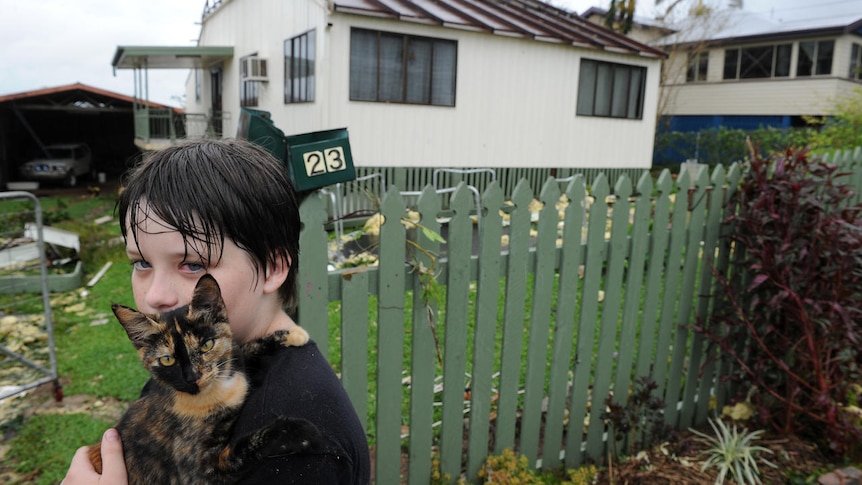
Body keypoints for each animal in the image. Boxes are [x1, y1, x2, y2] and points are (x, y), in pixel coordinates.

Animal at [89, 274, 322, 482]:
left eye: (206, 345)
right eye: (167, 360)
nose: (192, 376)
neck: (217, 390)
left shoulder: (232, 359)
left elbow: (240, 349)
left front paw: (292, 334)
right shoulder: (200, 472)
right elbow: (244, 447)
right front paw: (296, 431)